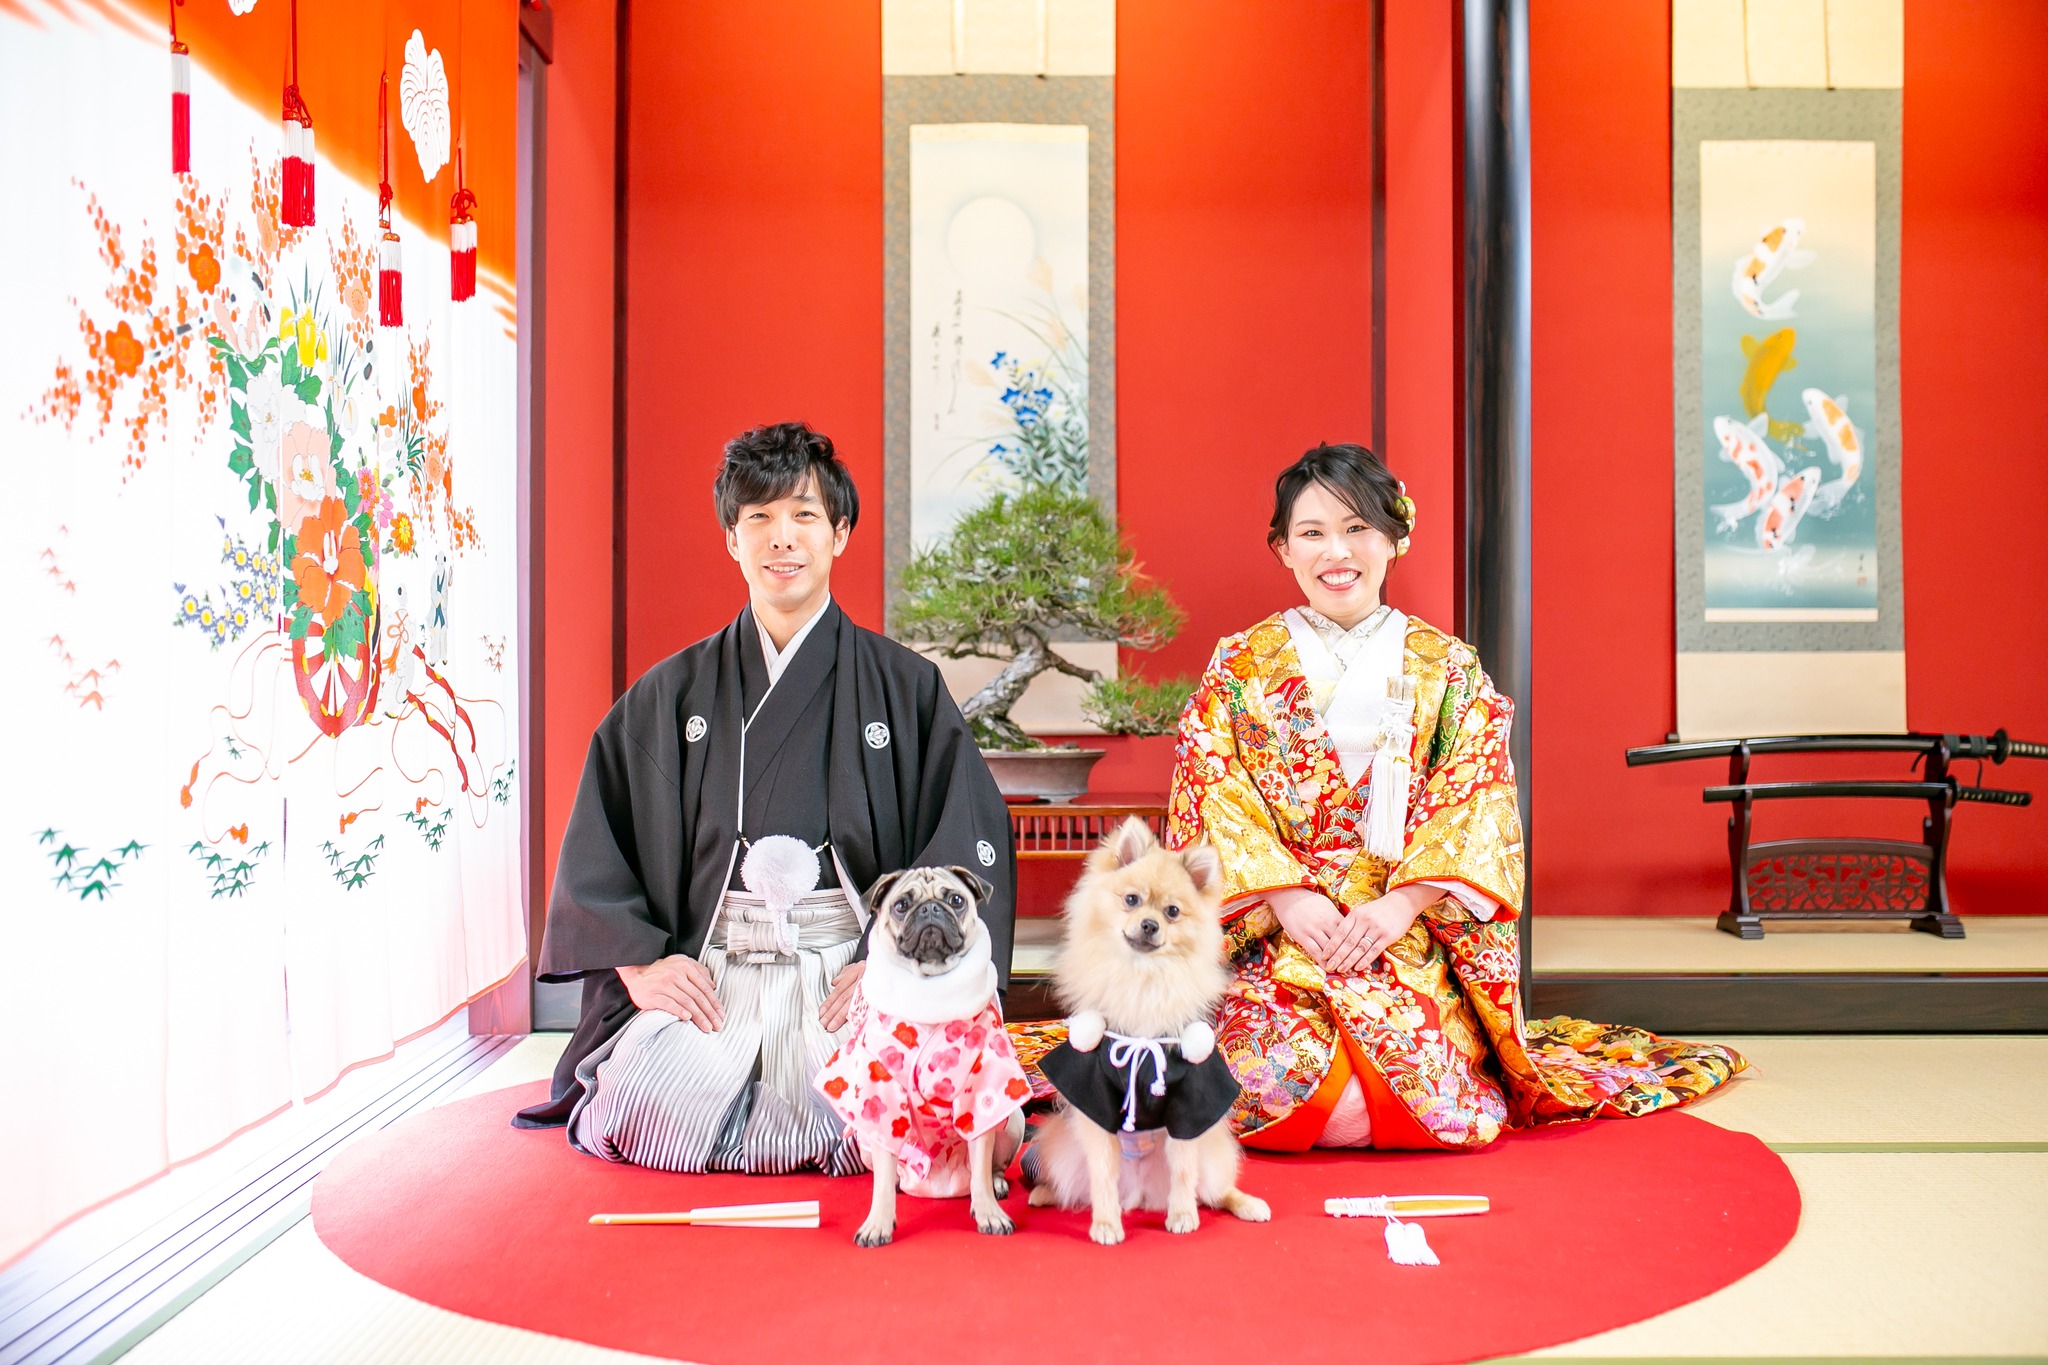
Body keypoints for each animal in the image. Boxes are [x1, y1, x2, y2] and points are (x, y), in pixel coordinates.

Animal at [814, 865, 1030, 1247]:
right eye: (901, 905)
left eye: (956, 900)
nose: (930, 909)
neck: (930, 985)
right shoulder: (882, 1097)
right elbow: (882, 1180)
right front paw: (878, 1222)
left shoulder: (980, 1095)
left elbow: (980, 1161)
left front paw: (989, 1213)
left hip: (1012, 1121)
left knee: (989, 1167)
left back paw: (996, 1183)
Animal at [1025, 817, 1271, 1244]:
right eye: (1131, 900)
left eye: (1172, 912)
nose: (1150, 924)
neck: (1144, 978)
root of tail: (1140, 1195)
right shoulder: (1094, 1097)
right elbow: (1102, 1175)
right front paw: (1107, 1223)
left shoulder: (1188, 1103)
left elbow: (1184, 1172)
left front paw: (1183, 1215)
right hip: (1062, 1147)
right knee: (1077, 1184)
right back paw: (1044, 1192)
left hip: (1214, 1154)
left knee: (1216, 1190)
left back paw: (1246, 1205)